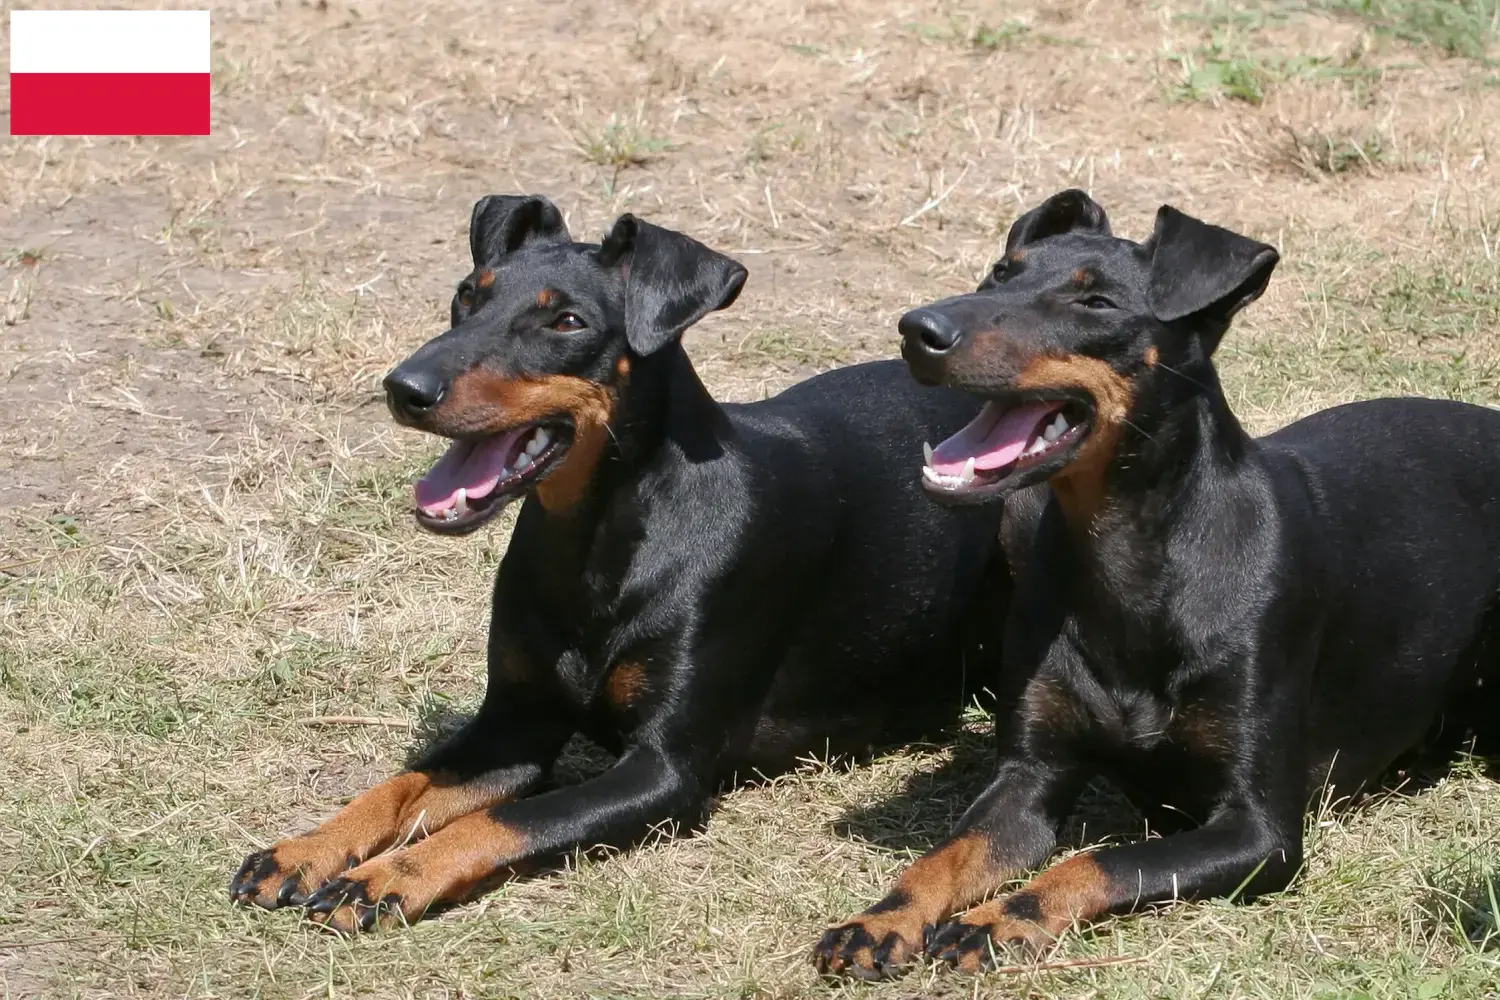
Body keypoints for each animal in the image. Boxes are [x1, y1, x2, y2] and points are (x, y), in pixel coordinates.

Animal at [234, 197, 1008, 941]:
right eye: (467, 295)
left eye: (567, 321)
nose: (404, 387)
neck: (594, 543)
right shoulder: (514, 722)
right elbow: (398, 786)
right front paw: (305, 850)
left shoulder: (663, 770)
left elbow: (503, 819)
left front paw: (386, 877)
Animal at [816, 187, 1500, 977]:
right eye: (999, 273)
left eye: (1098, 303)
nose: (917, 329)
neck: (1131, 561)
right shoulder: (1029, 778)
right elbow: (947, 854)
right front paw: (882, 918)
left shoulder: (1259, 831)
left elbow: (1102, 860)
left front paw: (1000, 919)